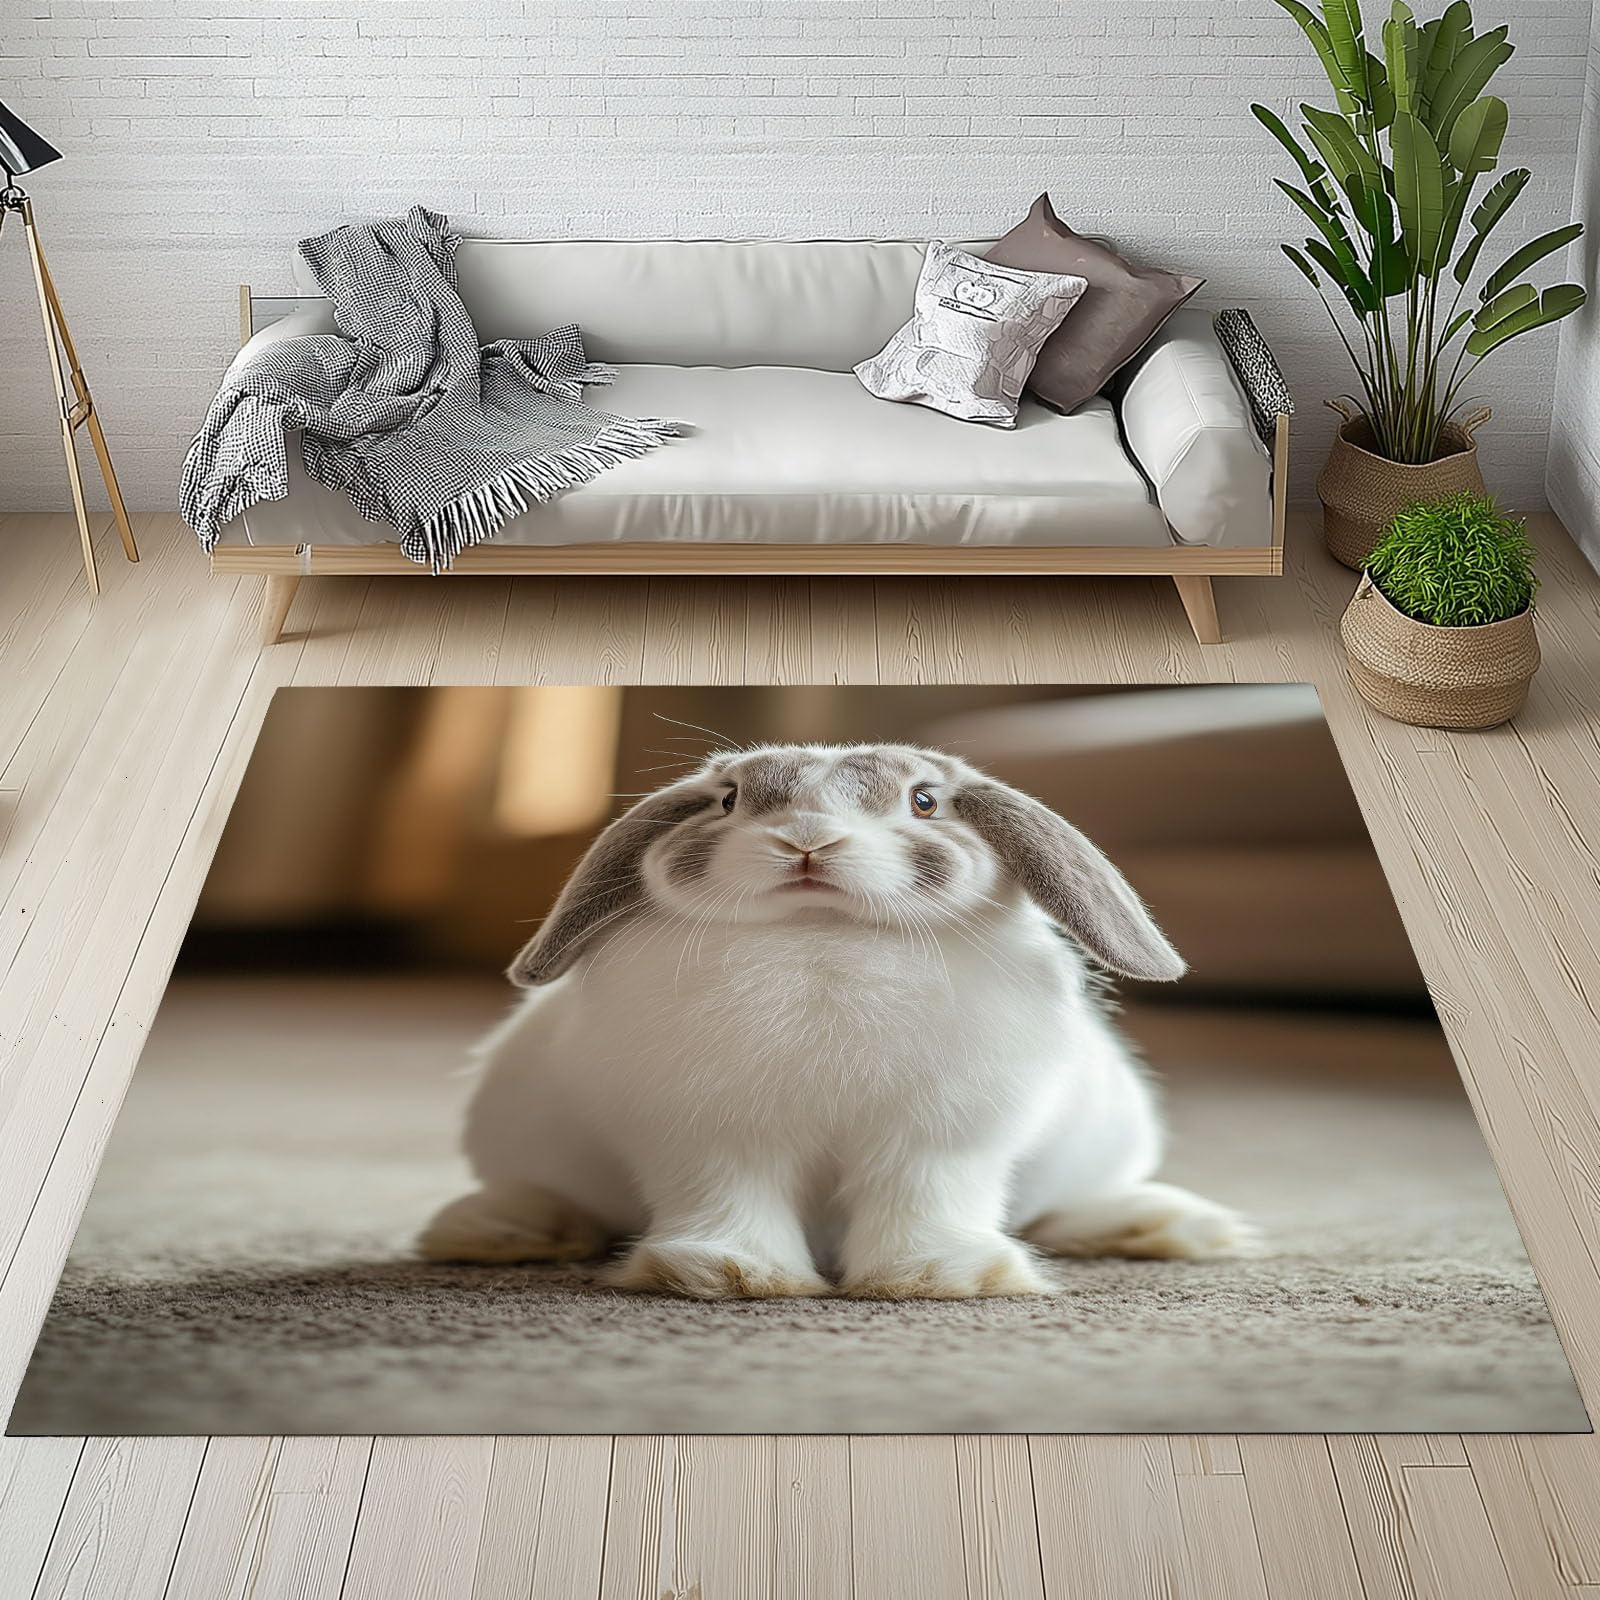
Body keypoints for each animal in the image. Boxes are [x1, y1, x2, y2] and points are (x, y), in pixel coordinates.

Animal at [419, 742, 1253, 1299]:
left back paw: (1178, 1228)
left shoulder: (939, 1135)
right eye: (728, 800)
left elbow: (924, 1194)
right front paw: (731, 1274)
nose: (807, 841)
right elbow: (728, 1193)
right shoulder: (709, 1132)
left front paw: (940, 1276)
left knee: (1060, 1210)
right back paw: (501, 1230)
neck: (822, 936)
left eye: (925, 802)